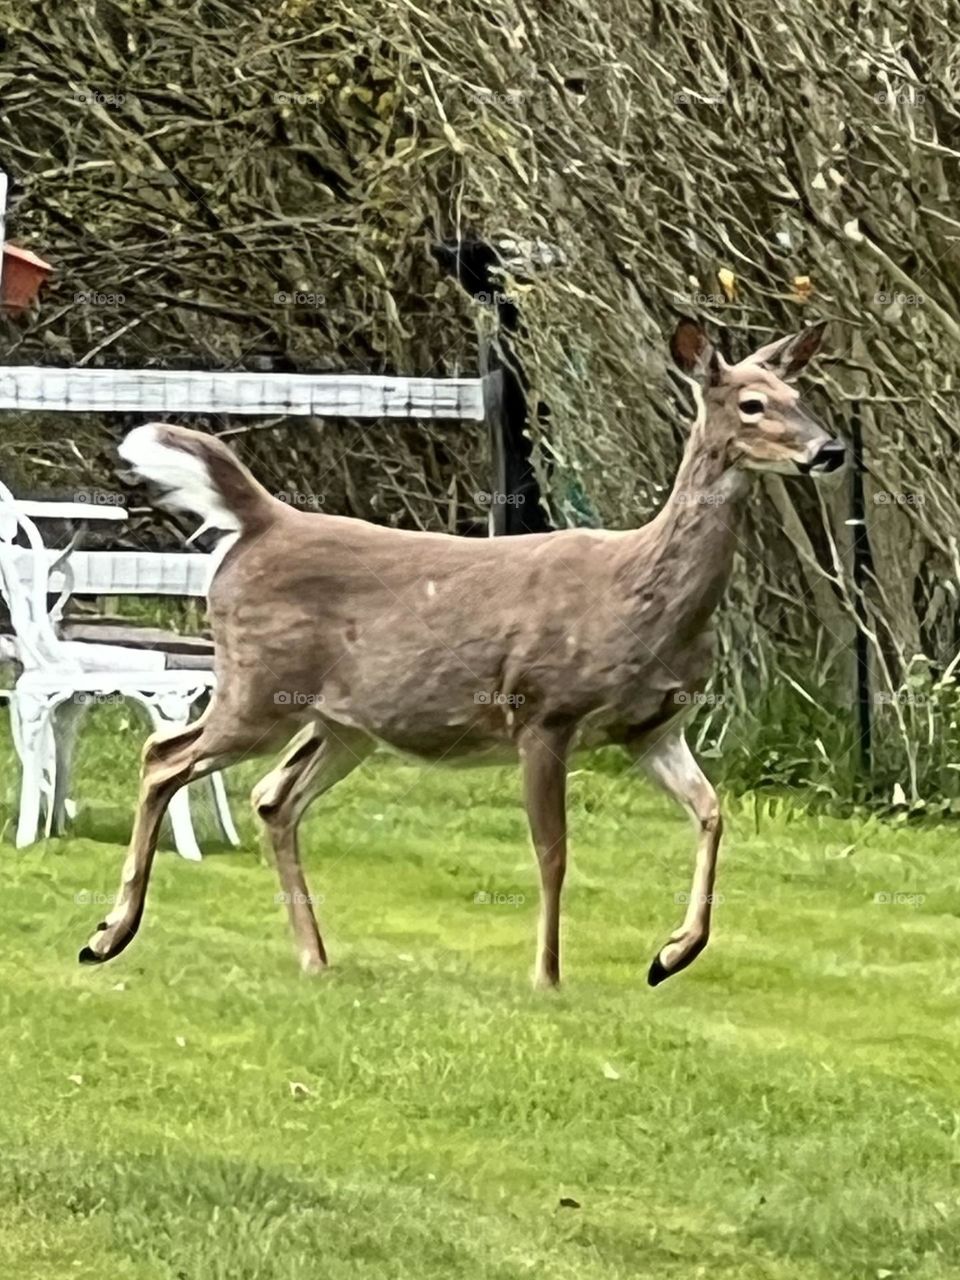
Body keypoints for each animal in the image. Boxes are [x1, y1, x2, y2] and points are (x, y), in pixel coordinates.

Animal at [78, 318, 843, 987]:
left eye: (799, 395)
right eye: (751, 403)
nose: (829, 450)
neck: (639, 596)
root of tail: (266, 519)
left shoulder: (651, 728)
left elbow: (712, 812)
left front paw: (671, 955)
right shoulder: (543, 711)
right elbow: (553, 854)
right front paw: (547, 978)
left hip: (340, 724)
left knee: (272, 799)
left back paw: (314, 959)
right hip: (257, 688)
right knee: (164, 755)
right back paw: (107, 936)